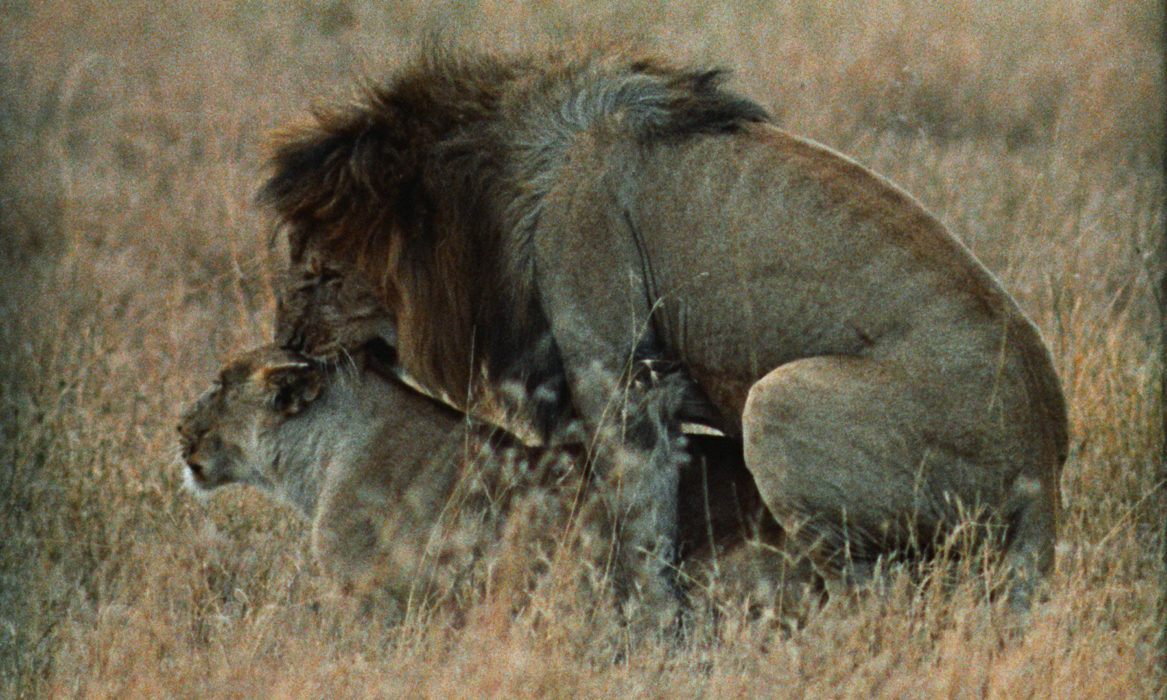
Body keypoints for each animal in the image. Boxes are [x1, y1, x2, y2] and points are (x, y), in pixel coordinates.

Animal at [262, 46, 1068, 611]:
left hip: (779, 401)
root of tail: (1047, 469)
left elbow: (639, 530)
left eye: (319, 278)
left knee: (876, 584)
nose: (289, 346)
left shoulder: (616, 375)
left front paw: (644, 630)